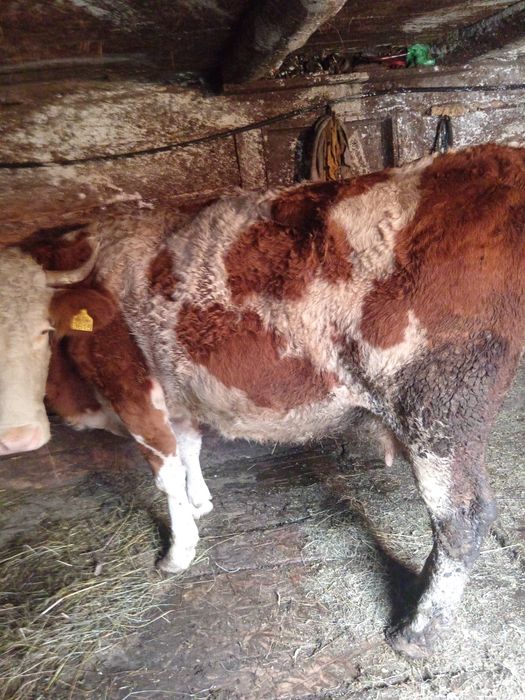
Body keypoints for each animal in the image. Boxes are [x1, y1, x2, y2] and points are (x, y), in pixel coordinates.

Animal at [1, 143, 524, 659]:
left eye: (43, 331)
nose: (18, 438)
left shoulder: (130, 389)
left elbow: (166, 473)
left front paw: (178, 551)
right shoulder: (177, 393)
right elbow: (189, 449)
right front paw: (200, 503)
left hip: (439, 410)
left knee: (462, 519)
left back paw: (415, 633)